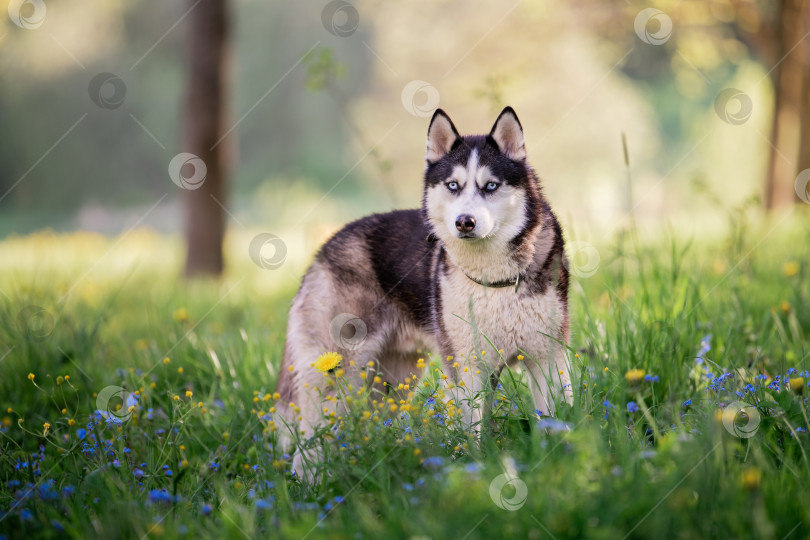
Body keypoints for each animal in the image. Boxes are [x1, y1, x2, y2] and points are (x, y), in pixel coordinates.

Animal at [274, 107, 572, 478]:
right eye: (453, 186)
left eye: (490, 186)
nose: (464, 222)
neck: (495, 278)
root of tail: (324, 247)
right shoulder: (467, 366)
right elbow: (472, 431)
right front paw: (475, 469)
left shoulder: (548, 358)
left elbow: (556, 417)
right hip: (336, 373)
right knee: (308, 442)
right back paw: (311, 483)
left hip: (393, 382)